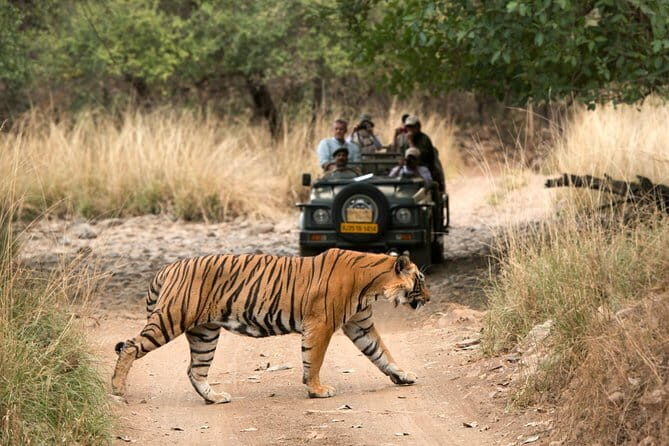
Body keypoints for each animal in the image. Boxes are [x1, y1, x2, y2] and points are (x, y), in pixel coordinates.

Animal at [111, 248, 430, 403]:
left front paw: (403, 375)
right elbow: (314, 359)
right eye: (421, 280)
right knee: (130, 346)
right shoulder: (321, 324)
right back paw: (117, 390)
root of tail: (167, 267)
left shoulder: (359, 324)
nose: (429, 298)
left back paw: (215, 398)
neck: (372, 285)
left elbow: (382, 353)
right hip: (171, 318)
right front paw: (317, 390)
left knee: (195, 370)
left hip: (205, 334)